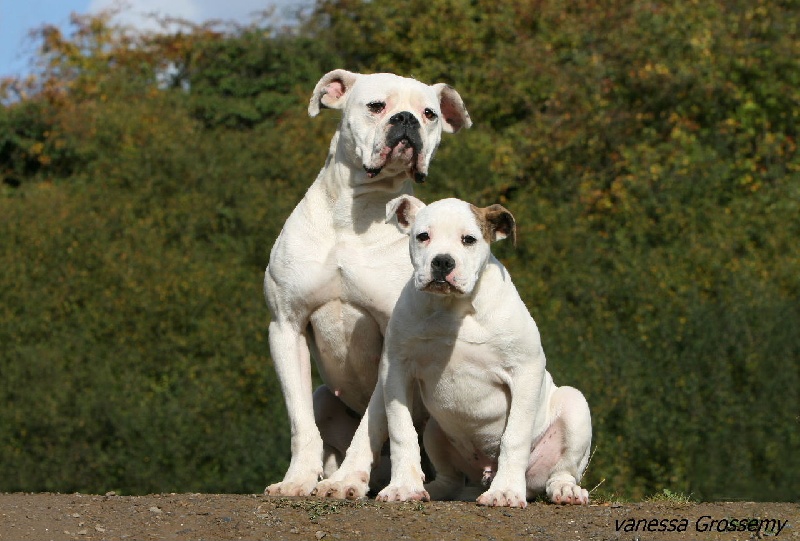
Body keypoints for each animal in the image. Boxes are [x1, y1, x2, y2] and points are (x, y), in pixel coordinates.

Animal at [266, 69, 472, 496]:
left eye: (429, 113)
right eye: (377, 105)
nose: (406, 120)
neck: (354, 212)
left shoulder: (390, 346)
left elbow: (373, 424)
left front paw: (347, 480)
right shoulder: (286, 326)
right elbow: (300, 420)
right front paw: (298, 479)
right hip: (325, 397)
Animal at [316, 197, 592, 506]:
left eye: (468, 239)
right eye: (423, 236)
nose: (442, 261)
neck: (452, 307)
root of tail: (482, 475)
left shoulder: (526, 370)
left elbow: (515, 436)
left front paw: (506, 491)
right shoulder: (396, 370)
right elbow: (401, 431)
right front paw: (403, 486)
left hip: (575, 407)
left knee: (562, 470)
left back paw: (564, 490)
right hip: (436, 431)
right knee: (450, 478)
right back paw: (435, 490)